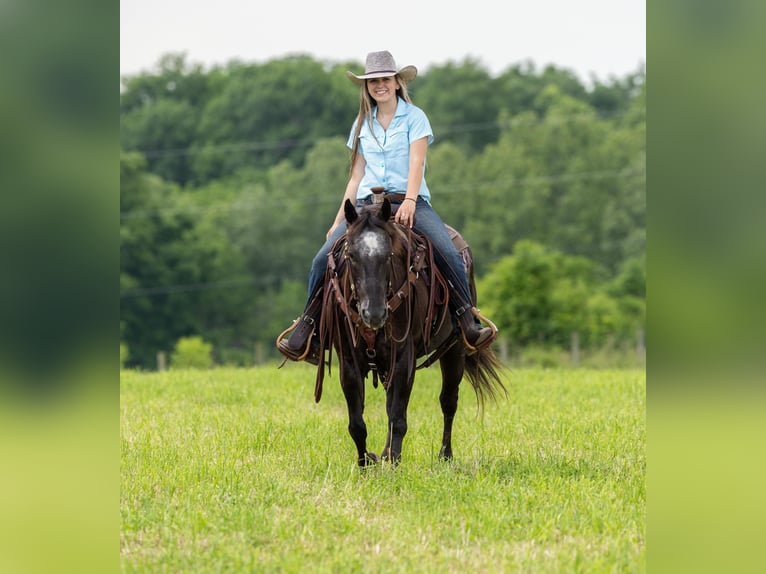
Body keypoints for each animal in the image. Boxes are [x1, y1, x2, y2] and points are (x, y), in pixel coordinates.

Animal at [311, 198, 506, 467]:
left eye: (389, 255)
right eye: (351, 255)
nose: (374, 313)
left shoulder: (404, 356)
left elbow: (398, 416)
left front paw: (393, 462)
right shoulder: (349, 360)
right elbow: (357, 423)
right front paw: (366, 462)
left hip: (455, 349)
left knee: (448, 401)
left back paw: (445, 455)